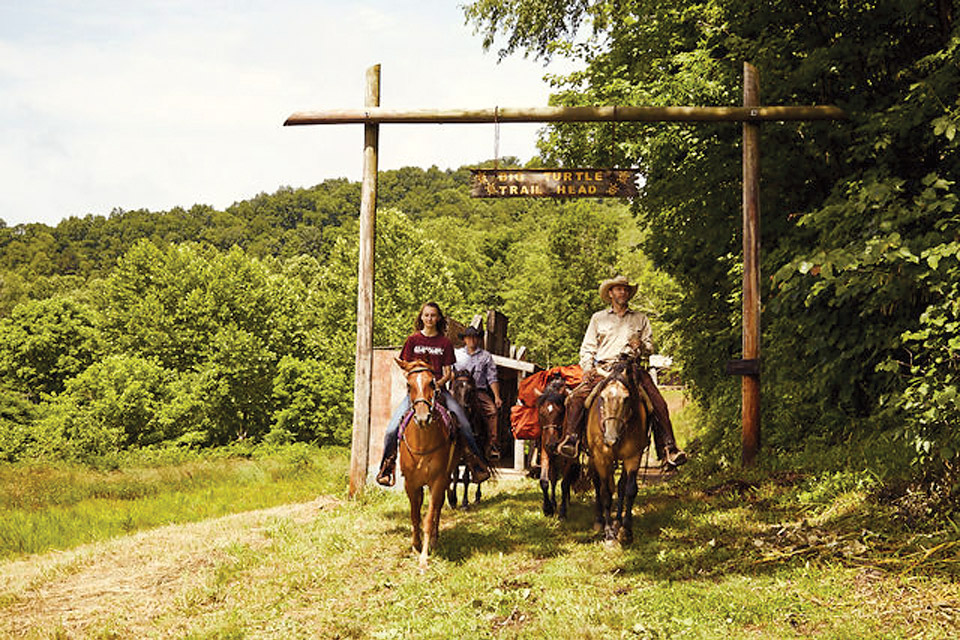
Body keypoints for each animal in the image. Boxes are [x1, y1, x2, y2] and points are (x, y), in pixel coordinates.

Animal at [394, 358, 462, 572]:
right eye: (409, 385)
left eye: (432, 383)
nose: (423, 417)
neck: (423, 442)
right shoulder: (410, 483)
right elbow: (415, 515)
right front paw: (415, 546)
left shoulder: (437, 481)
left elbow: (428, 518)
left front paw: (424, 556)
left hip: (445, 478)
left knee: (438, 507)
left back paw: (434, 539)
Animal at [448, 370, 492, 510]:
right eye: (454, 388)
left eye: (471, 390)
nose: (461, 409)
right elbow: (455, 475)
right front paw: (453, 500)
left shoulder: (471, 451)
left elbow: (466, 477)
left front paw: (464, 503)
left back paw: (477, 496)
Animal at [532, 376, 576, 520]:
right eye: (541, 413)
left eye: (561, 412)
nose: (551, 444)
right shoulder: (545, 452)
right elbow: (545, 481)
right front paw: (548, 508)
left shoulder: (569, 458)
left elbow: (565, 483)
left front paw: (562, 511)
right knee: (553, 478)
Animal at [580, 356, 648, 544]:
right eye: (602, 398)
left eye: (626, 398)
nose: (610, 439)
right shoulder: (601, 458)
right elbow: (605, 493)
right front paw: (609, 533)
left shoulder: (633, 456)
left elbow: (629, 489)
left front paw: (626, 529)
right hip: (594, 458)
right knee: (598, 484)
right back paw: (599, 521)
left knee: (620, 485)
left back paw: (617, 521)